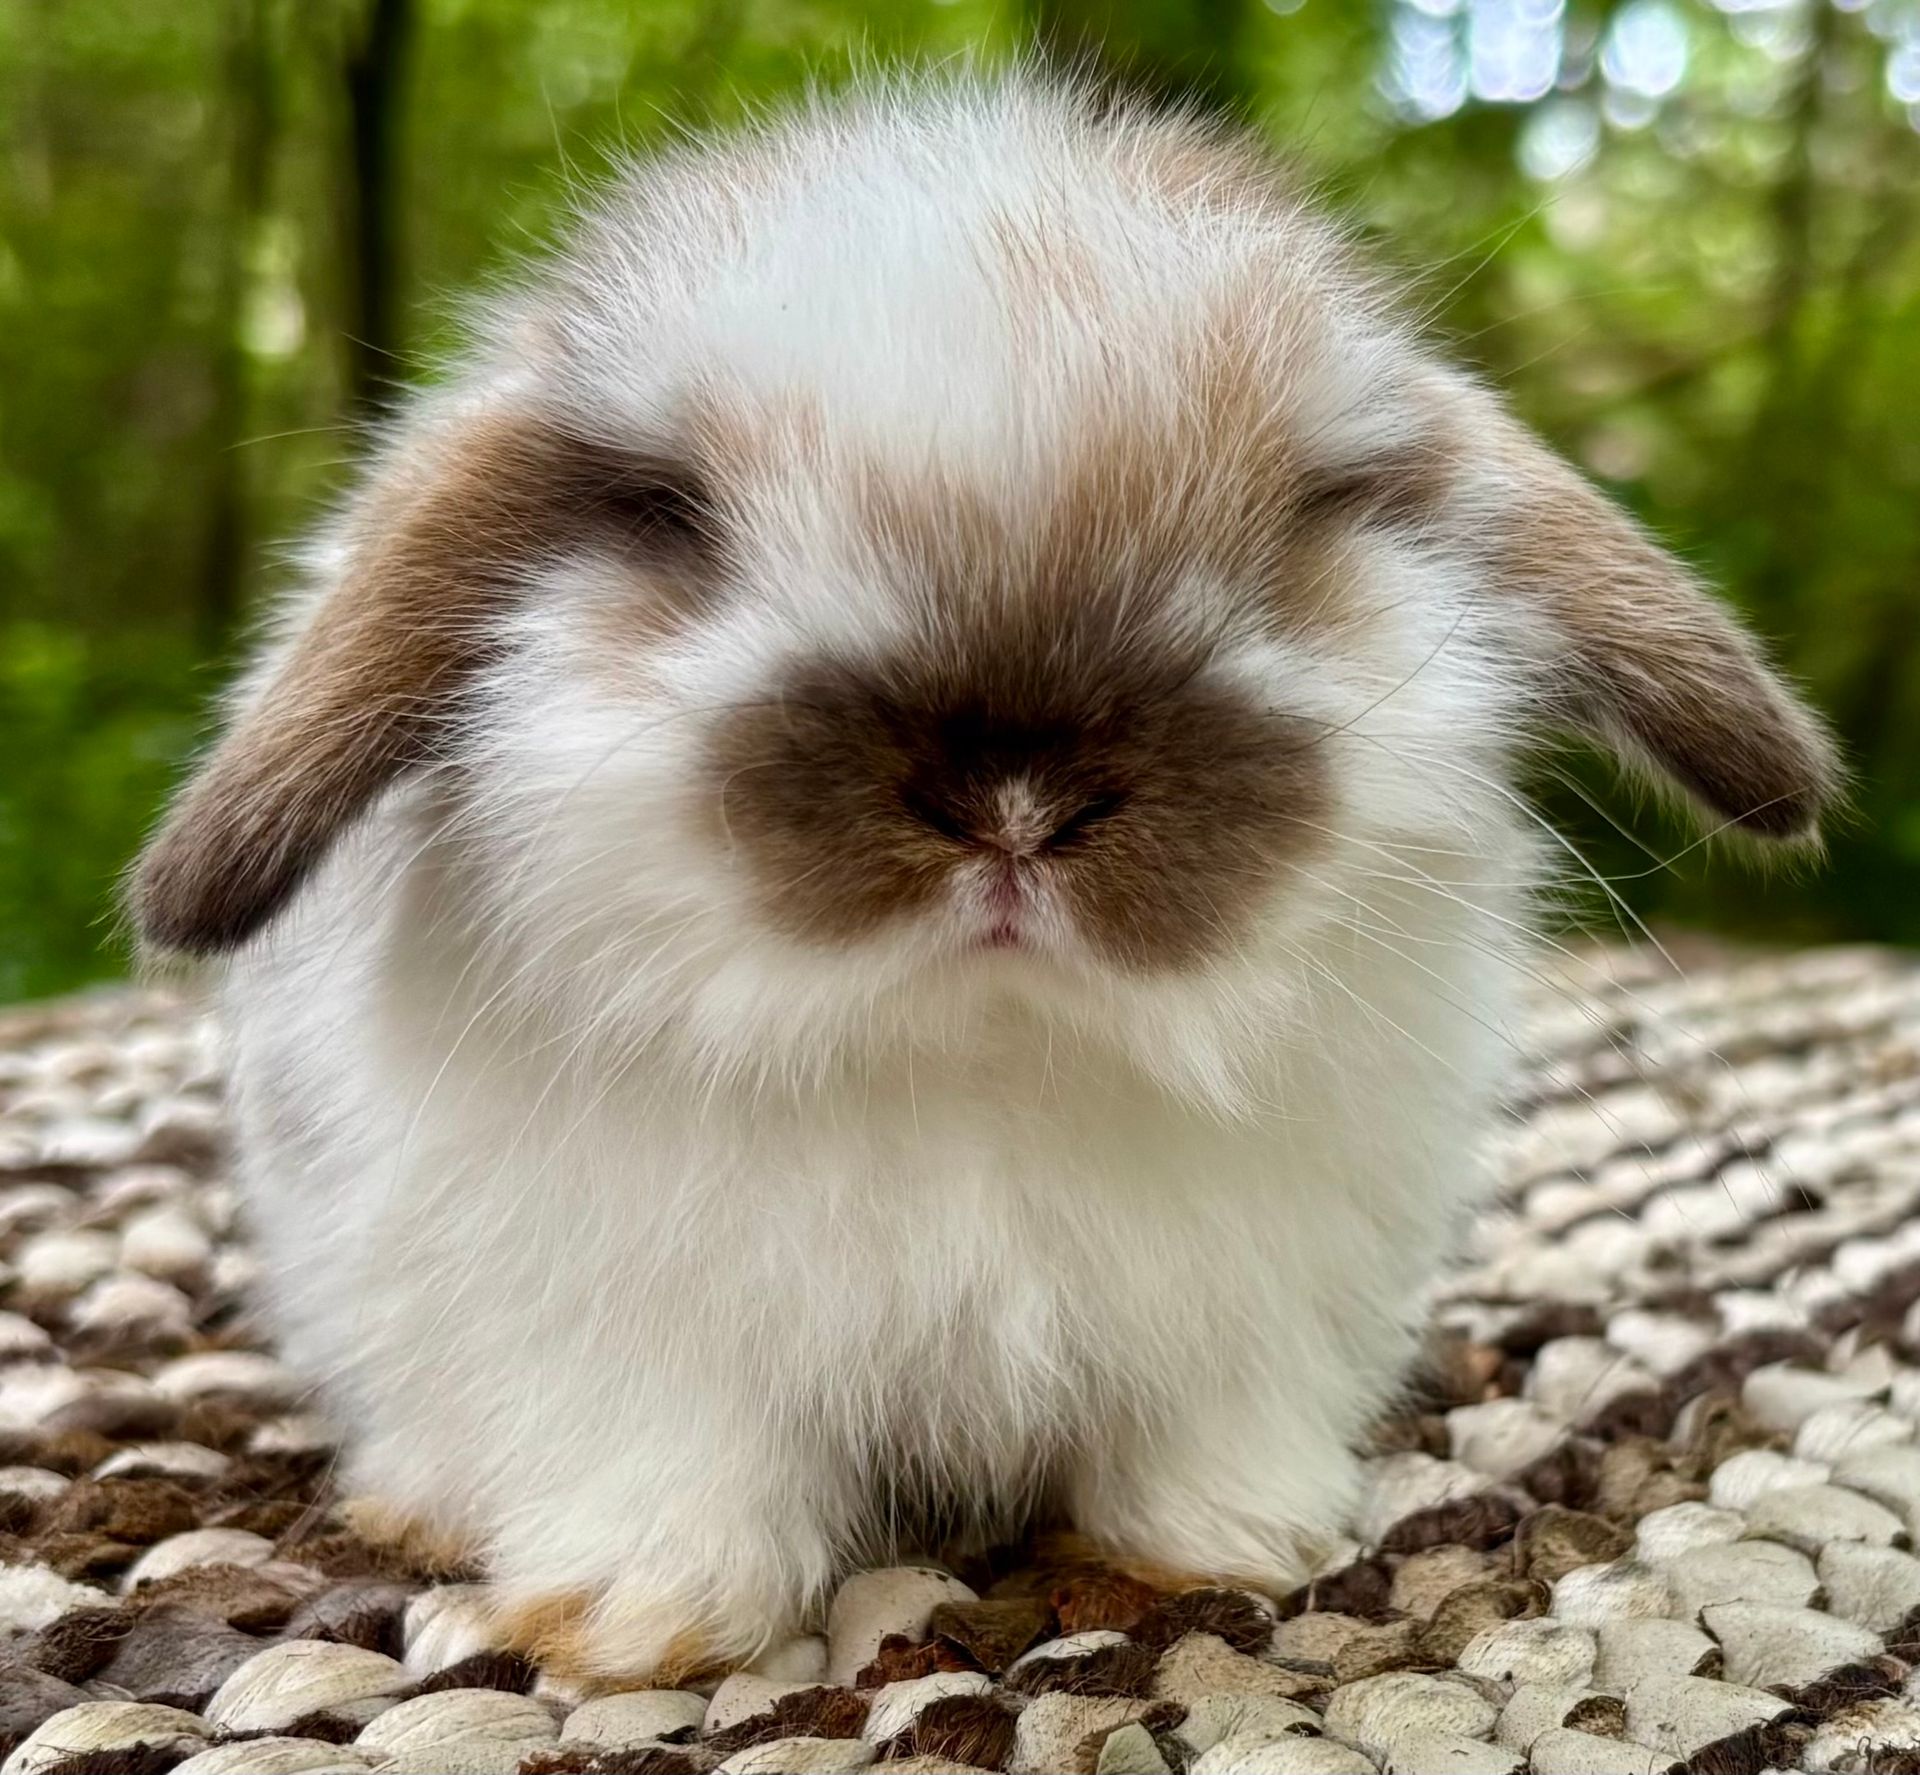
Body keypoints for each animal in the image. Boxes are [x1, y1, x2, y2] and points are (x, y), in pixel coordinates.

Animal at [132, 72, 1835, 1683]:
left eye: (1309, 513)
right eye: (670, 513)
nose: (1014, 798)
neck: (981, 1050)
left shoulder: (1252, 1305)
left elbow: (1208, 1434)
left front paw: (1231, 1545)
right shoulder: (608, 1326)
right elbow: (669, 1464)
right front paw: (638, 1623)